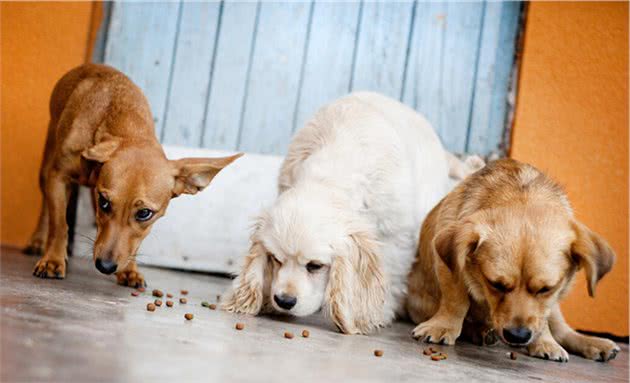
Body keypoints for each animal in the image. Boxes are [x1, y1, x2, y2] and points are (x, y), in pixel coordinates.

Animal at [25, 63, 242, 286]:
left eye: (144, 213)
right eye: (104, 202)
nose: (105, 266)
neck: (127, 126)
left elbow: (135, 242)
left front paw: (130, 270)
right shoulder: (59, 177)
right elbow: (59, 225)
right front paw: (53, 260)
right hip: (46, 170)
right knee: (46, 210)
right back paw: (38, 241)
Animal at [221, 92, 464, 332]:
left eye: (315, 266)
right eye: (274, 259)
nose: (284, 301)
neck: (330, 174)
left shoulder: (396, 236)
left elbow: (390, 275)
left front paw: (375, 314)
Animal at [404, 159, 624, 364]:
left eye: (546, 289)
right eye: (495, 284)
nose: (518, 336)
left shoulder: (551, 299)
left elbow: (542, 319)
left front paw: (545, 342)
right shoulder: (449, 268)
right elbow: (456, 300)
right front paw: (443, 326)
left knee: (562, 330)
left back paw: (593, 343)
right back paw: (477, 330)